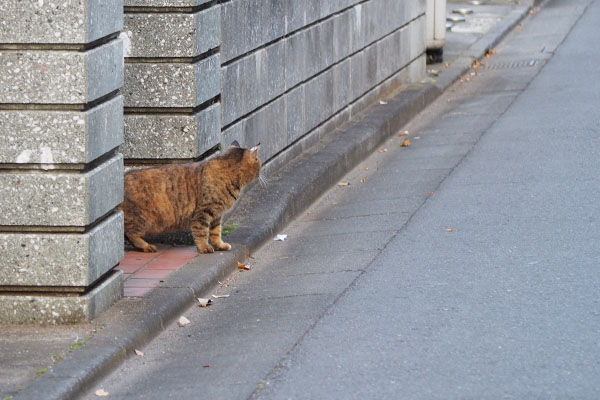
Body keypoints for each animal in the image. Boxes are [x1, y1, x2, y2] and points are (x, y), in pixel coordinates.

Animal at [118, 142, 262, 252]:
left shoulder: (216, 215)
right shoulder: (203, 213)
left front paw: (220, 245)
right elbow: (202, 232)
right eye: (259, 162)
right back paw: (146, 246)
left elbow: (216, 232)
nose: (261, 172)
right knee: (129, 233)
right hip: (141, 219)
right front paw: (204, 247)